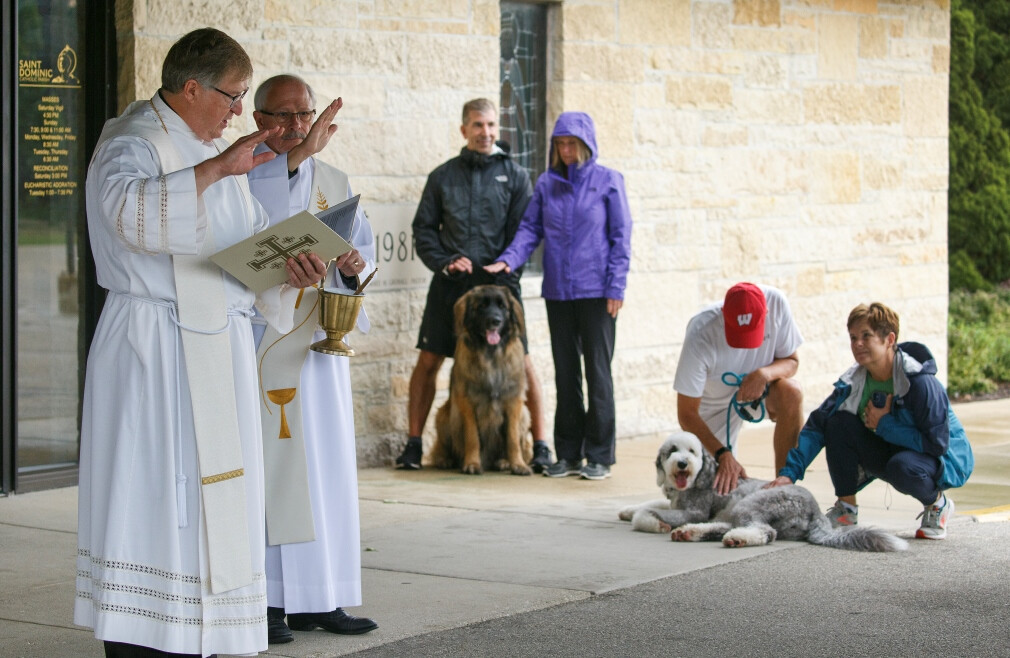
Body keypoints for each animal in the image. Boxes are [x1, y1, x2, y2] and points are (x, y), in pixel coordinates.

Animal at [430, 285, 533, 477]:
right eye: (482, 306)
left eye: (502, 306)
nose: (495, 321)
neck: (491, 355)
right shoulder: (467, 403)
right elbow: (472, 438)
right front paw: (472, 463)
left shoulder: (514, 403)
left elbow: (513, 438)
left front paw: (518, 464)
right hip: (444, 416)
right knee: (441, 446)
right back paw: (444, 460)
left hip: (525, 414)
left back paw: (504, 461)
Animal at [618, 430, 913, 553]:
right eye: (671, 451)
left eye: (691, 451)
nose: (681, 463)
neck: (697, 479)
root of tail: (816, 511)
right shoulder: (677, 503)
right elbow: (651, 502)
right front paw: (626, 510)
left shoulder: (693, 510)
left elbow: (648, 512)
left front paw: (653, 523)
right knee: (726, 526)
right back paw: (690, 533)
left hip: (752, 504)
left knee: (762, 532)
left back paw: (733, 539)